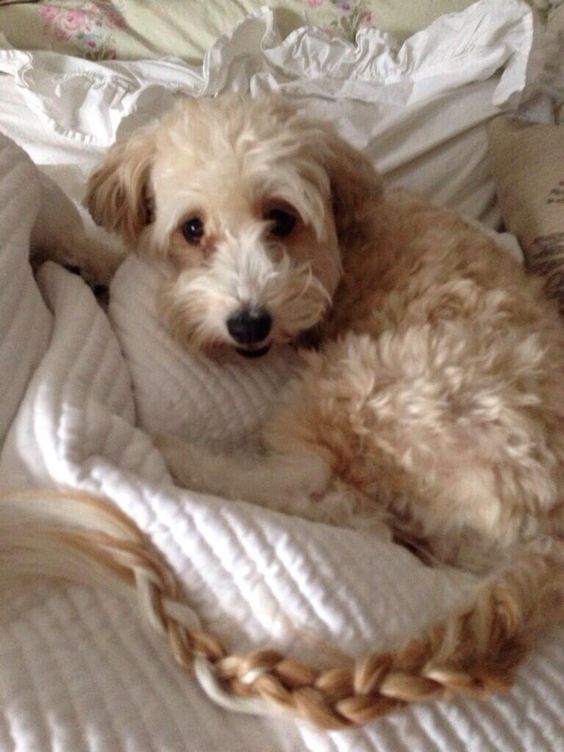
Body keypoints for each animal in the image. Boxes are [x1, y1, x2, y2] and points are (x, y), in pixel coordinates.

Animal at [85, 94, 564, 704]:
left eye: (281, 218)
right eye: (192, 229)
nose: (249, 324)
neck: (346, 245)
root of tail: (548, 542)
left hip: (367, 384)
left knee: (318, 492)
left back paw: (183, 459)